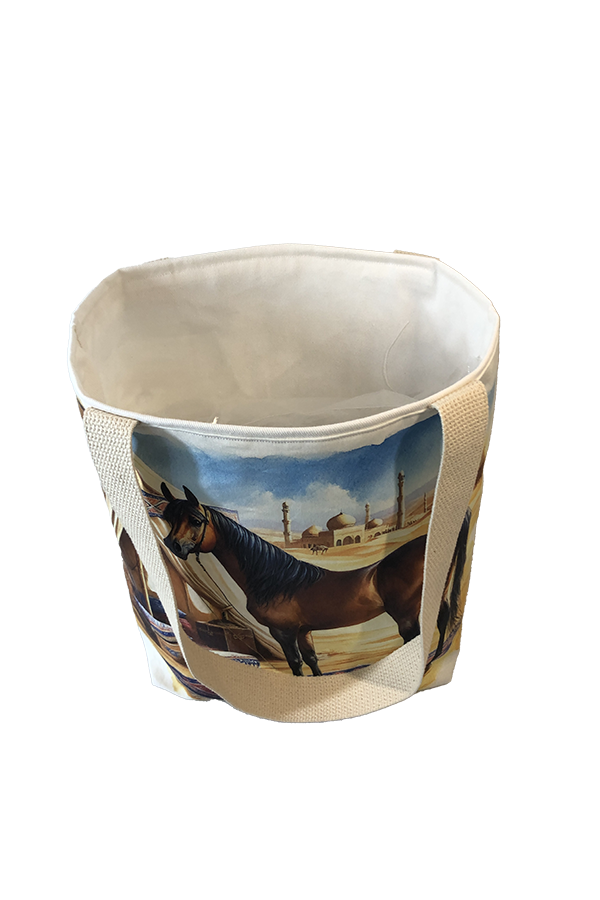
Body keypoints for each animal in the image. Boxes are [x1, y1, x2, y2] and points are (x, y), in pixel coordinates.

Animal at [159, 483, 470, 676]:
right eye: (167, 518)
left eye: (196, 520)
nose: (172, 545)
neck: (276, 580)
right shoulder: (303, 630)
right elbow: (312, 661)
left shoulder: (283, 632)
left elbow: (295, 664)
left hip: (406, 616)